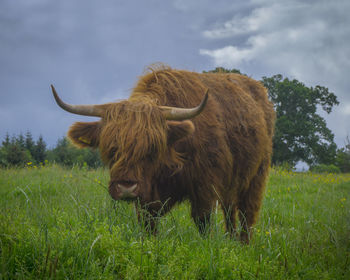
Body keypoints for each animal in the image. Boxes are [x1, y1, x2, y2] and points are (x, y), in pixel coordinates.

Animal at [51, 65, 276, 243]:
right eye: (111, 148)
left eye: (152, 148)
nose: (126, 187)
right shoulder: (146, 197)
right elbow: (148, 224)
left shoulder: (205, 185)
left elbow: (203, 221)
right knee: (230, 212)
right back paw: (231, 241)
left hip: (256, 176)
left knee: (247, 213)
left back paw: (243, 245)